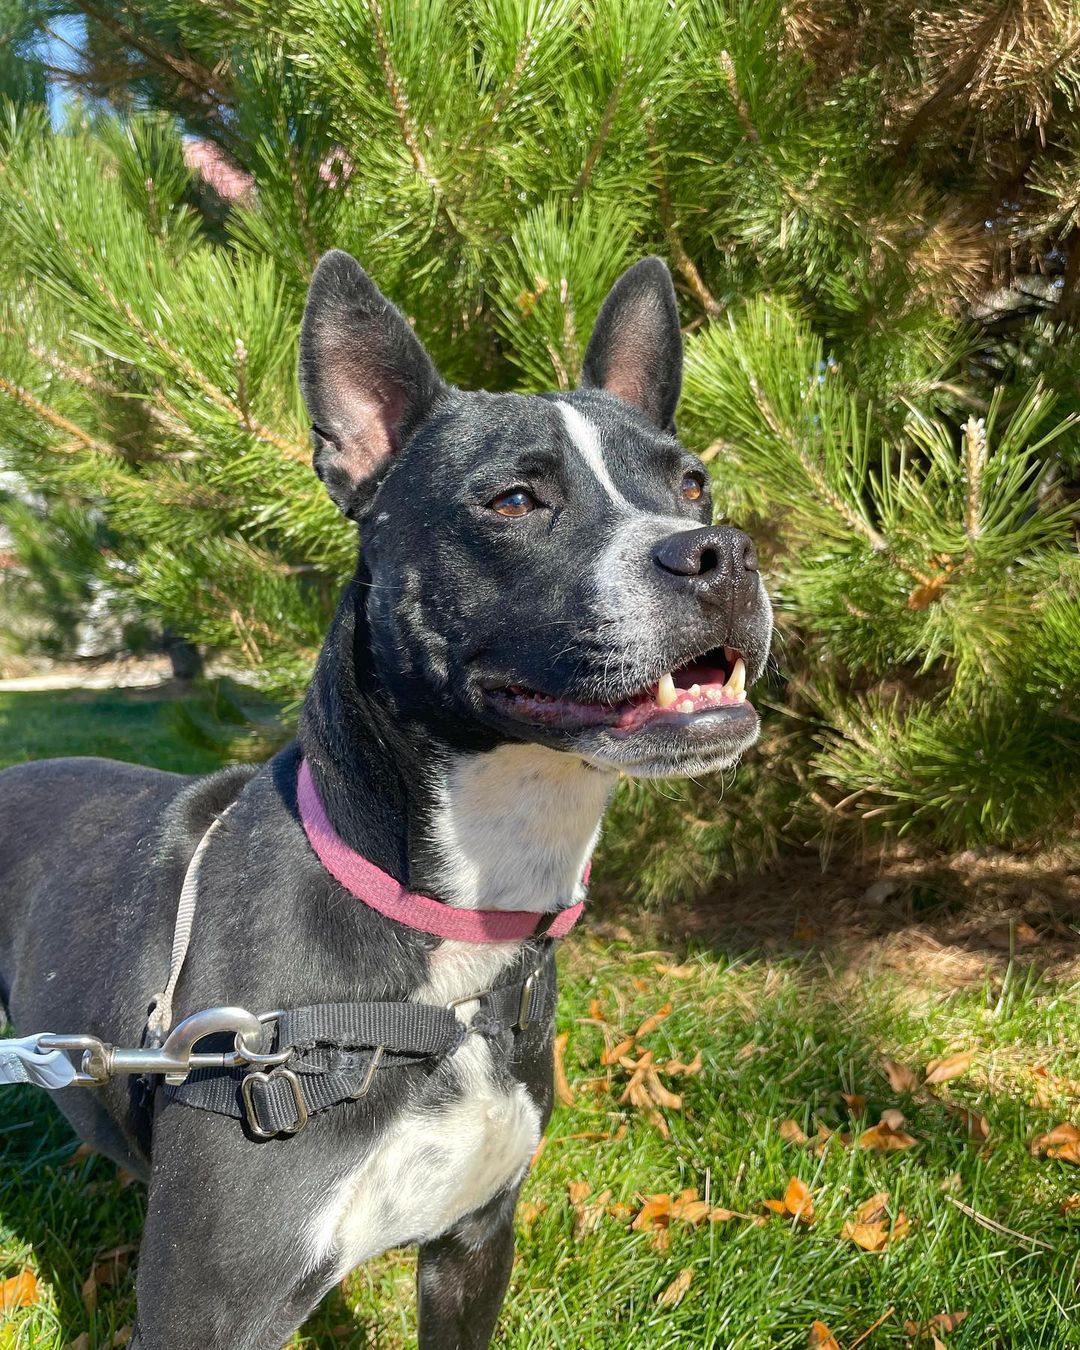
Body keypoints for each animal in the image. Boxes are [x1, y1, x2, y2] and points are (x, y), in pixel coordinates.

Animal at [2, 248, 777, 1344]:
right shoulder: (209, 1311)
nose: (724, 552)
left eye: (693, 484)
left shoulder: (473, 1248)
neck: (448, 929)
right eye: (513, 501)